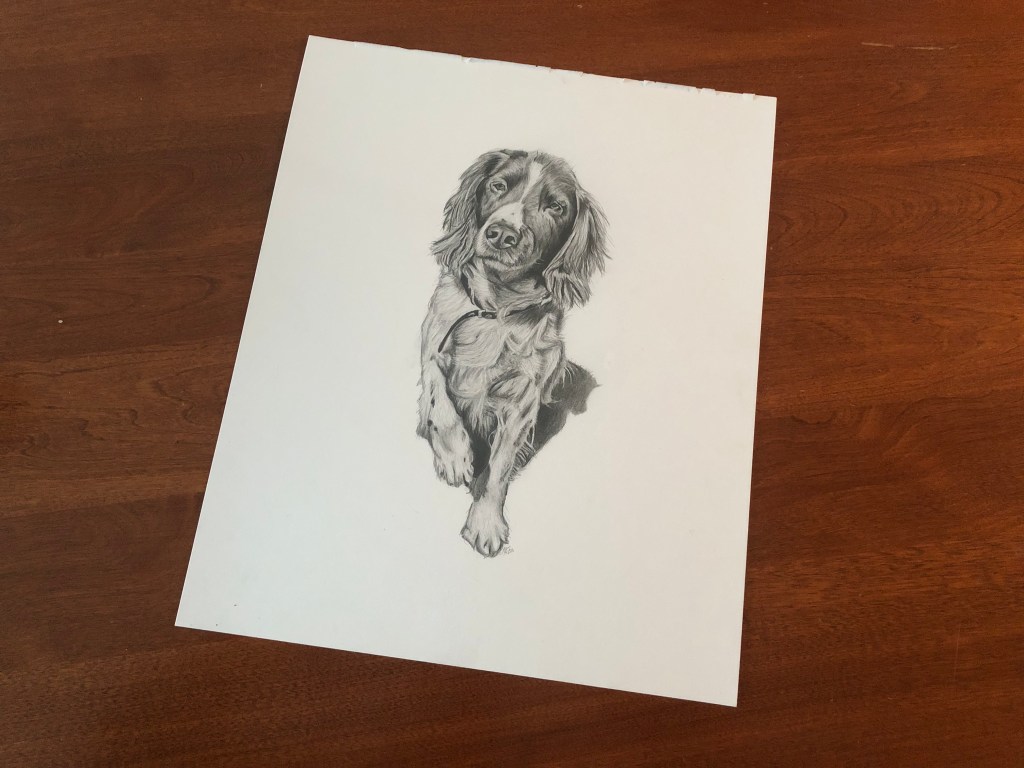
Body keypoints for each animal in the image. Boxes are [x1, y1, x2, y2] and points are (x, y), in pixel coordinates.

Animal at [417, 150, 608, 557]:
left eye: (555, 205)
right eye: (498, 185)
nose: (502, 234)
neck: (496, 309)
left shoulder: (521, 404)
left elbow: (499, 469)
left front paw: (485, 523)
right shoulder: (432, 349)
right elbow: (440, 402)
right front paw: (455, 458)